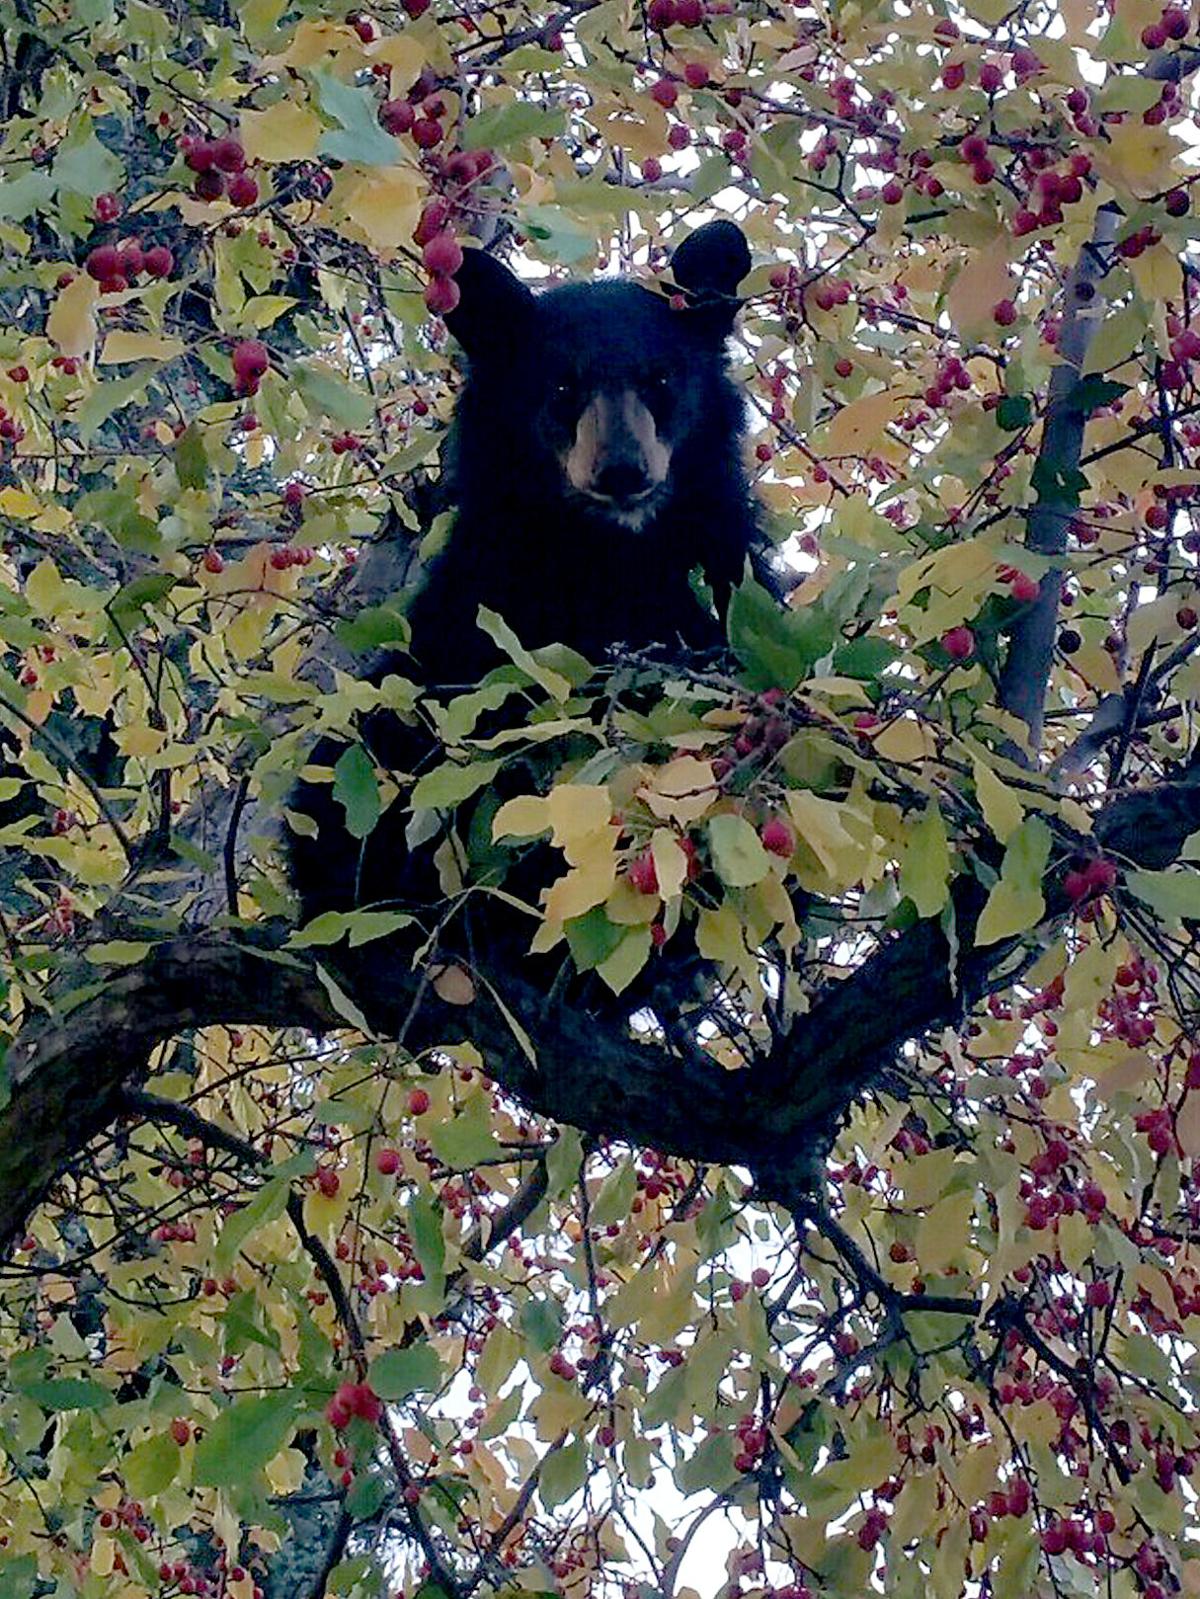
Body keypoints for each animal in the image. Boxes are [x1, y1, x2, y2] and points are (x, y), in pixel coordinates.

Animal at [288, 220, 772, 1014]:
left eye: (662, 379)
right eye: (561, 386)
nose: (621, 472)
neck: (605, 559)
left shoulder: (719, 583)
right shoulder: (484, 603)